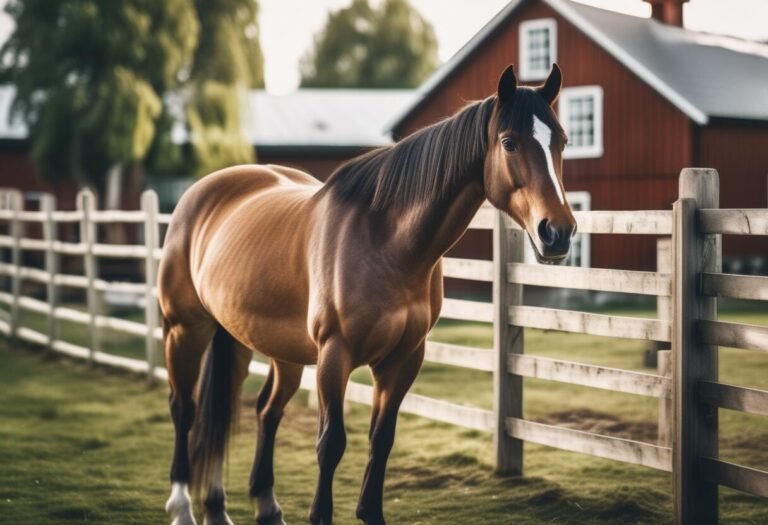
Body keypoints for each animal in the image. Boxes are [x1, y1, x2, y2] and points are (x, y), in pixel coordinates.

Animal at [159, 63, 576, 525]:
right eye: (509, 143)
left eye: (561, 140)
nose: (557, 232)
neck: (387, 242)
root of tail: (201, 193)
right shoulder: (334, 355)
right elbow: (331, 443)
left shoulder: (403, 359)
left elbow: (382, 438)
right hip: (186, 330)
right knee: (185, 408)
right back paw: (182, 507)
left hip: (259, 344)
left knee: (253, 410)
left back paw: (241, 506)